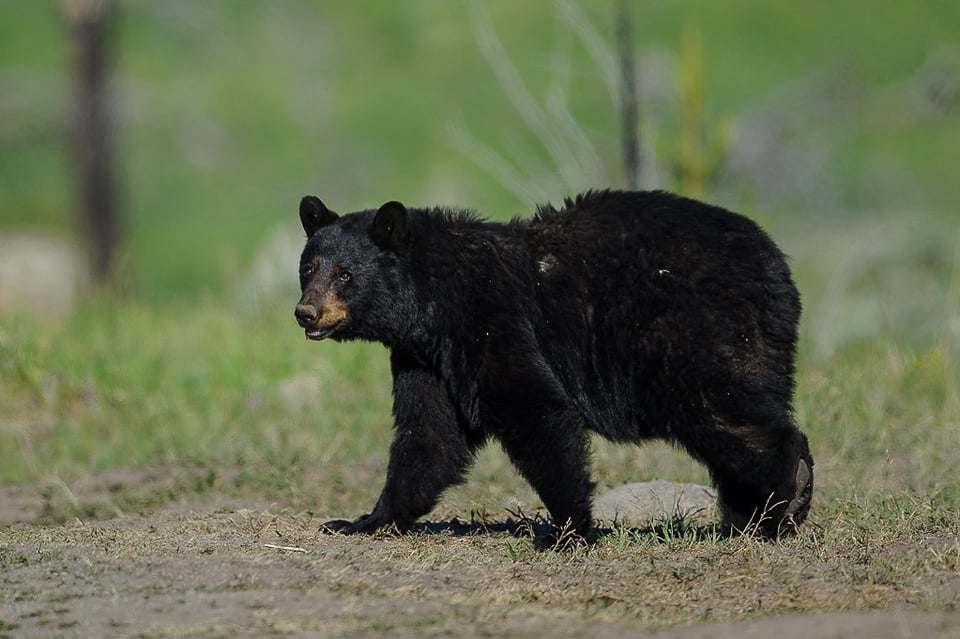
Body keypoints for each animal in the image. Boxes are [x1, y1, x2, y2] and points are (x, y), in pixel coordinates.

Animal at [296, 190, 812, 552]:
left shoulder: (493, 320)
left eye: (345, 274)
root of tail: (776, 266)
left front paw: (567, 530)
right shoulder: (425, 359)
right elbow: (429, 435)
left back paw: (782, 506)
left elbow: (534, 410)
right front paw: (362, 521)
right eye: (309, 267)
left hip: (694, 331)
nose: (305, 313)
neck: (433, 302)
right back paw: (750, 516)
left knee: (726, 413)